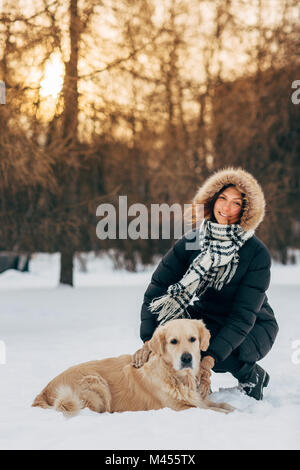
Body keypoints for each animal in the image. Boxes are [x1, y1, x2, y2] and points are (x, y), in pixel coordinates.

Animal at [33, 320, 234, 414]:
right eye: (173, 341)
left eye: (193, 339)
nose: (186, 358)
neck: (175, 375)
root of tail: (43, 391)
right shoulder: (178, 408)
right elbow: (215, 411)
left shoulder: (200, 400)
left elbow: (223, 405)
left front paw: (234, 409)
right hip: (94, 382)